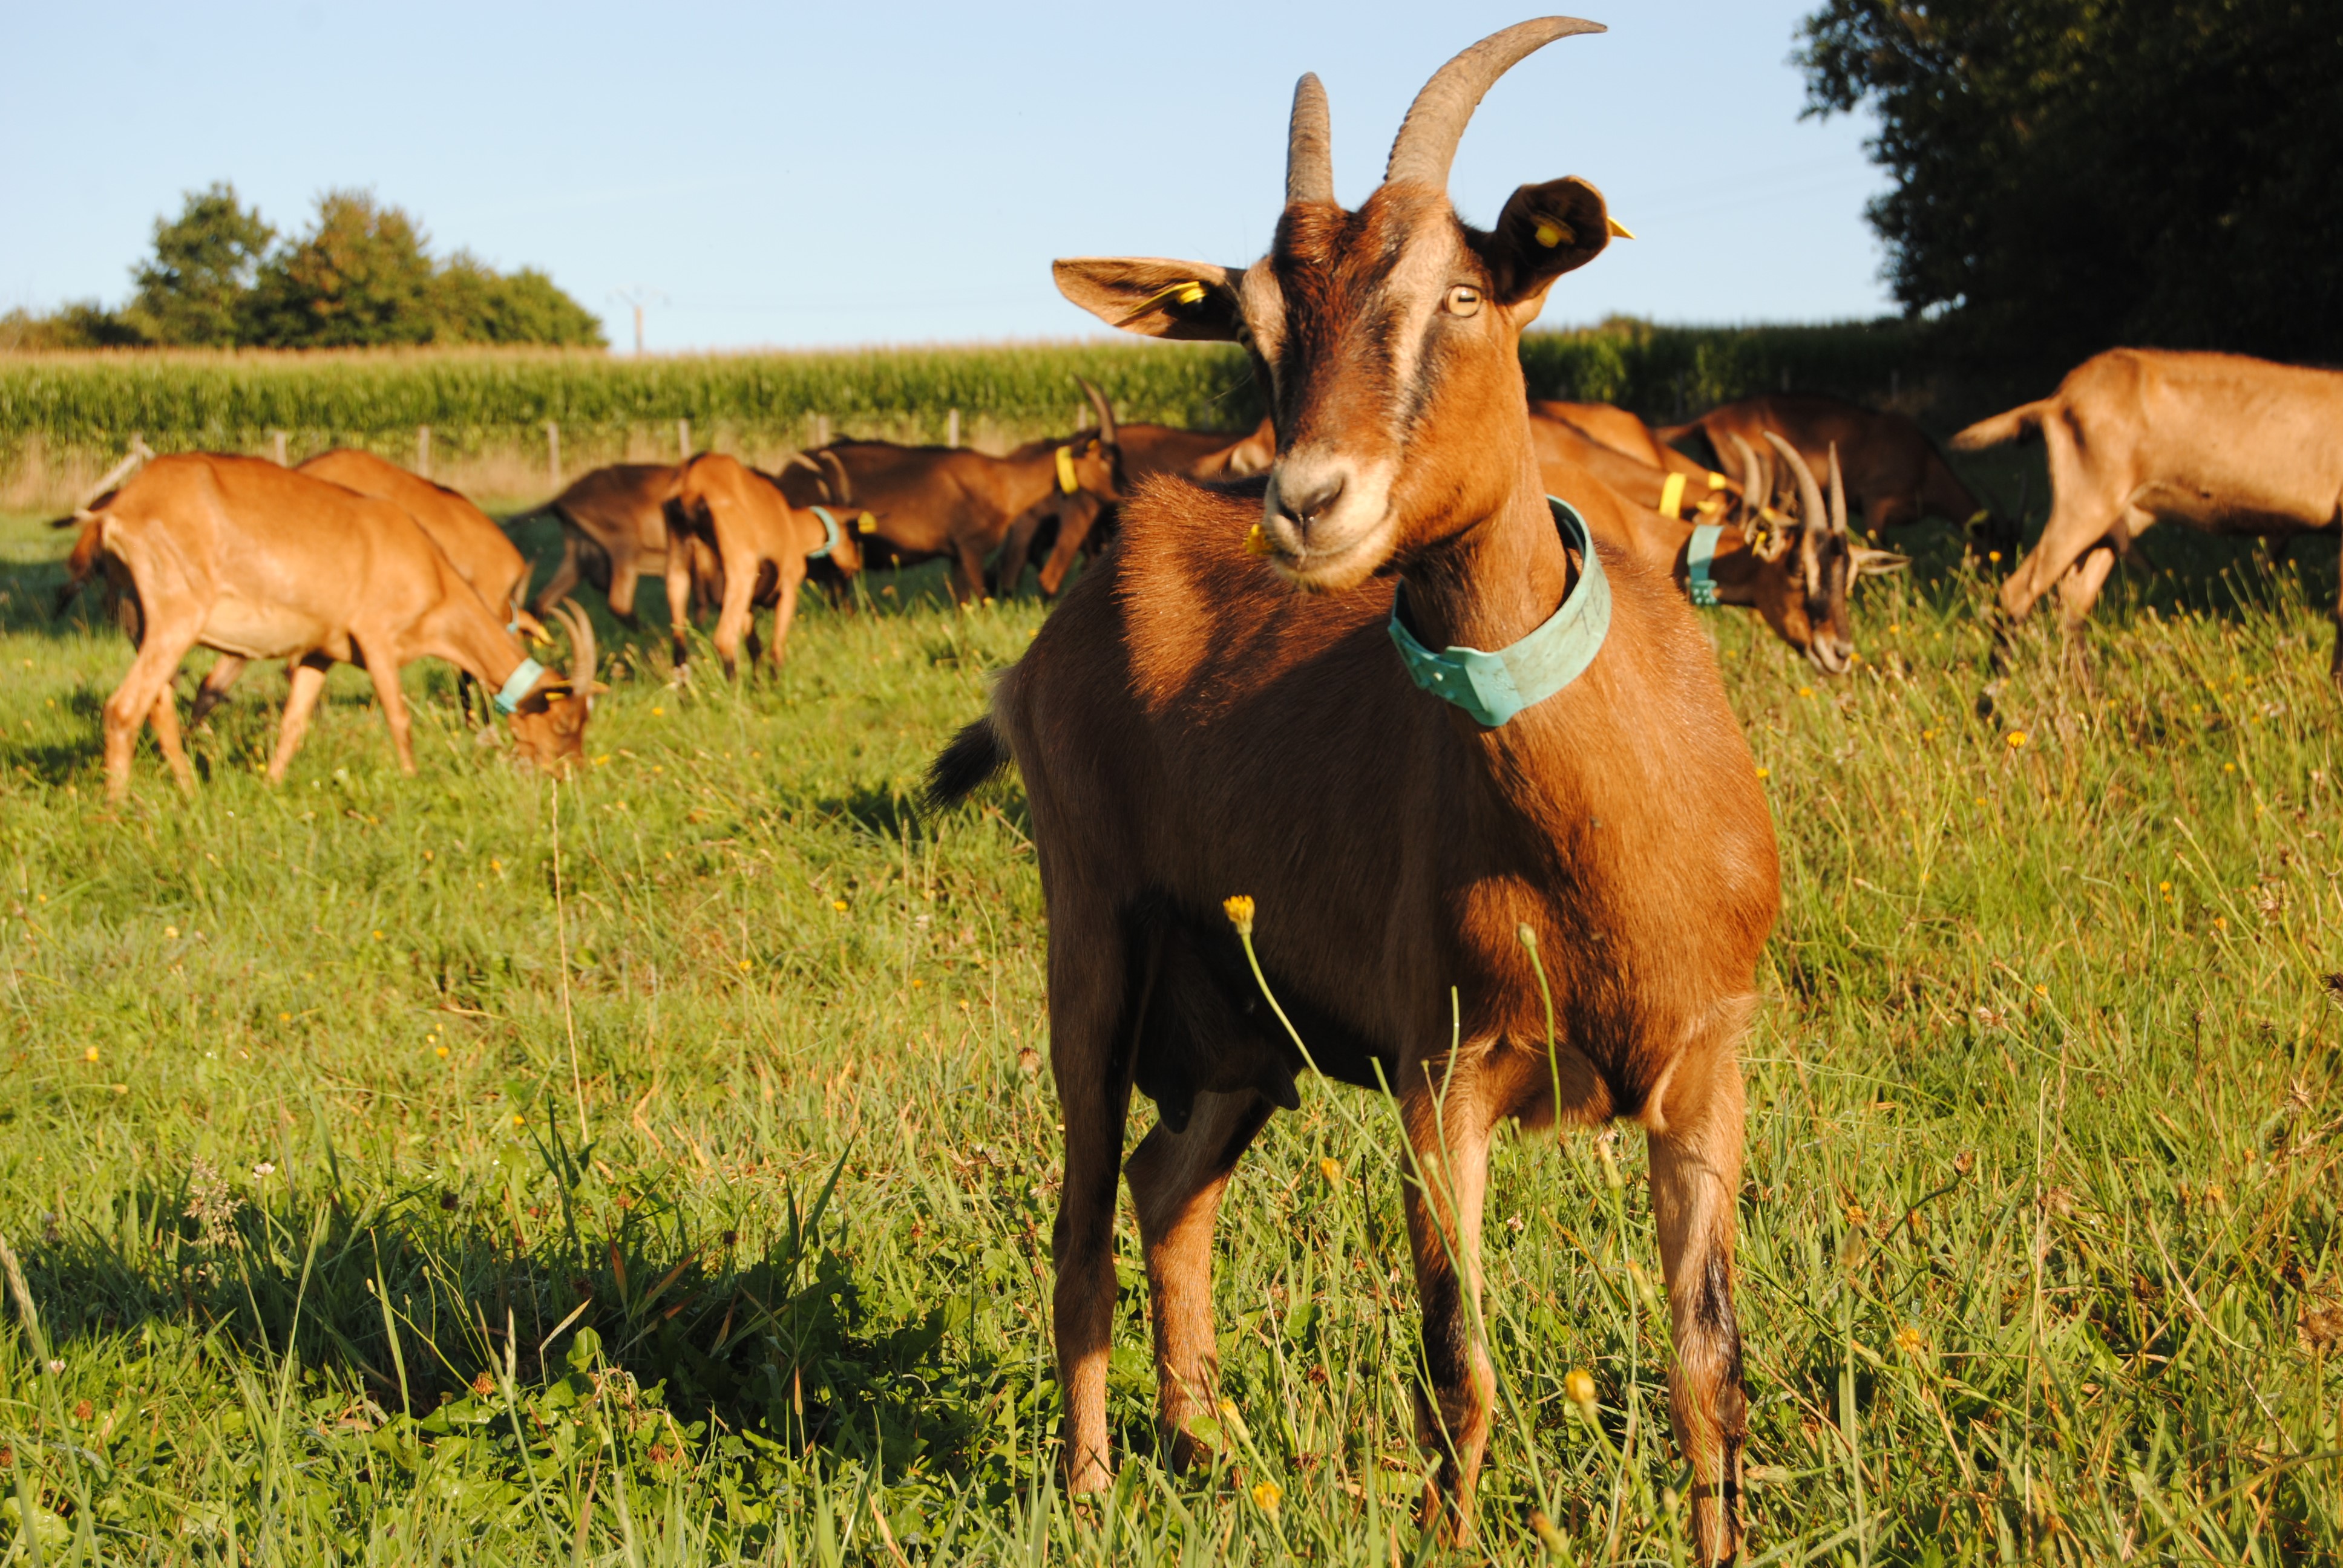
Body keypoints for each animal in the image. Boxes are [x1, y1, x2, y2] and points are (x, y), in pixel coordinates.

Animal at [64, 449, 600, 797]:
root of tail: (116, 510)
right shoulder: (378, 639)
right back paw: (118, 812)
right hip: (177, 614)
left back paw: (190, 792)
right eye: (564, 721)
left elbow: (293, 723)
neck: (432, 572)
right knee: (123, 709)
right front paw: (412, 782)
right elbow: (399, 718)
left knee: (159, 708)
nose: (570, 775)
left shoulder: (322, 652)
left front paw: (271, 785)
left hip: (147, 623)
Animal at [665, 449, 867, 675]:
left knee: (679, 651)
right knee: (724, 641)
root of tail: (692, 484)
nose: (856, 565)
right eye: (852, 533)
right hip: (741, 572)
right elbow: (776, 651)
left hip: (678, 573)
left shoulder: (746, 604)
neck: (792, 524)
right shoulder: (787, 589)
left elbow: (755, 648)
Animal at [923, 15, 1761, 1556]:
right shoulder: (1443, 1069)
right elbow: (1460, 1365)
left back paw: (1201, 1444)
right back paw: (1091, 1485)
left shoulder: (1706, 1063)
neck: (1604, 839)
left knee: (1166, 1185)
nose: (1309, 503)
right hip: (1095, 938)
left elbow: (1704, 1369)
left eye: (1464, 293)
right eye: (1255, 331)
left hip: (1242, 1027)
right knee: (1079, 1217)